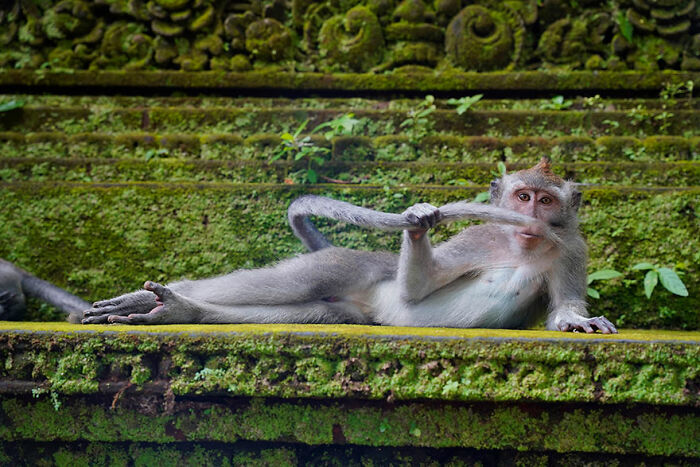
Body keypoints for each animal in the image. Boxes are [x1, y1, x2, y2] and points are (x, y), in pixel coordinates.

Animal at [81, 158, 617, 334]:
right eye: (523, 196)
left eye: (546, 199)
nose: (533, 219)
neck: (520, 247)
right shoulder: (478, 238)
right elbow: (416, 291)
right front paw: (420, 220)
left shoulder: (573, 249)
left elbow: (564, 305)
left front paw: (578, 321)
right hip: (352, 265)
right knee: (297, 281)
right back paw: (160, 298)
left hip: (351, 310)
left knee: (313, 309)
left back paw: (181, 311)